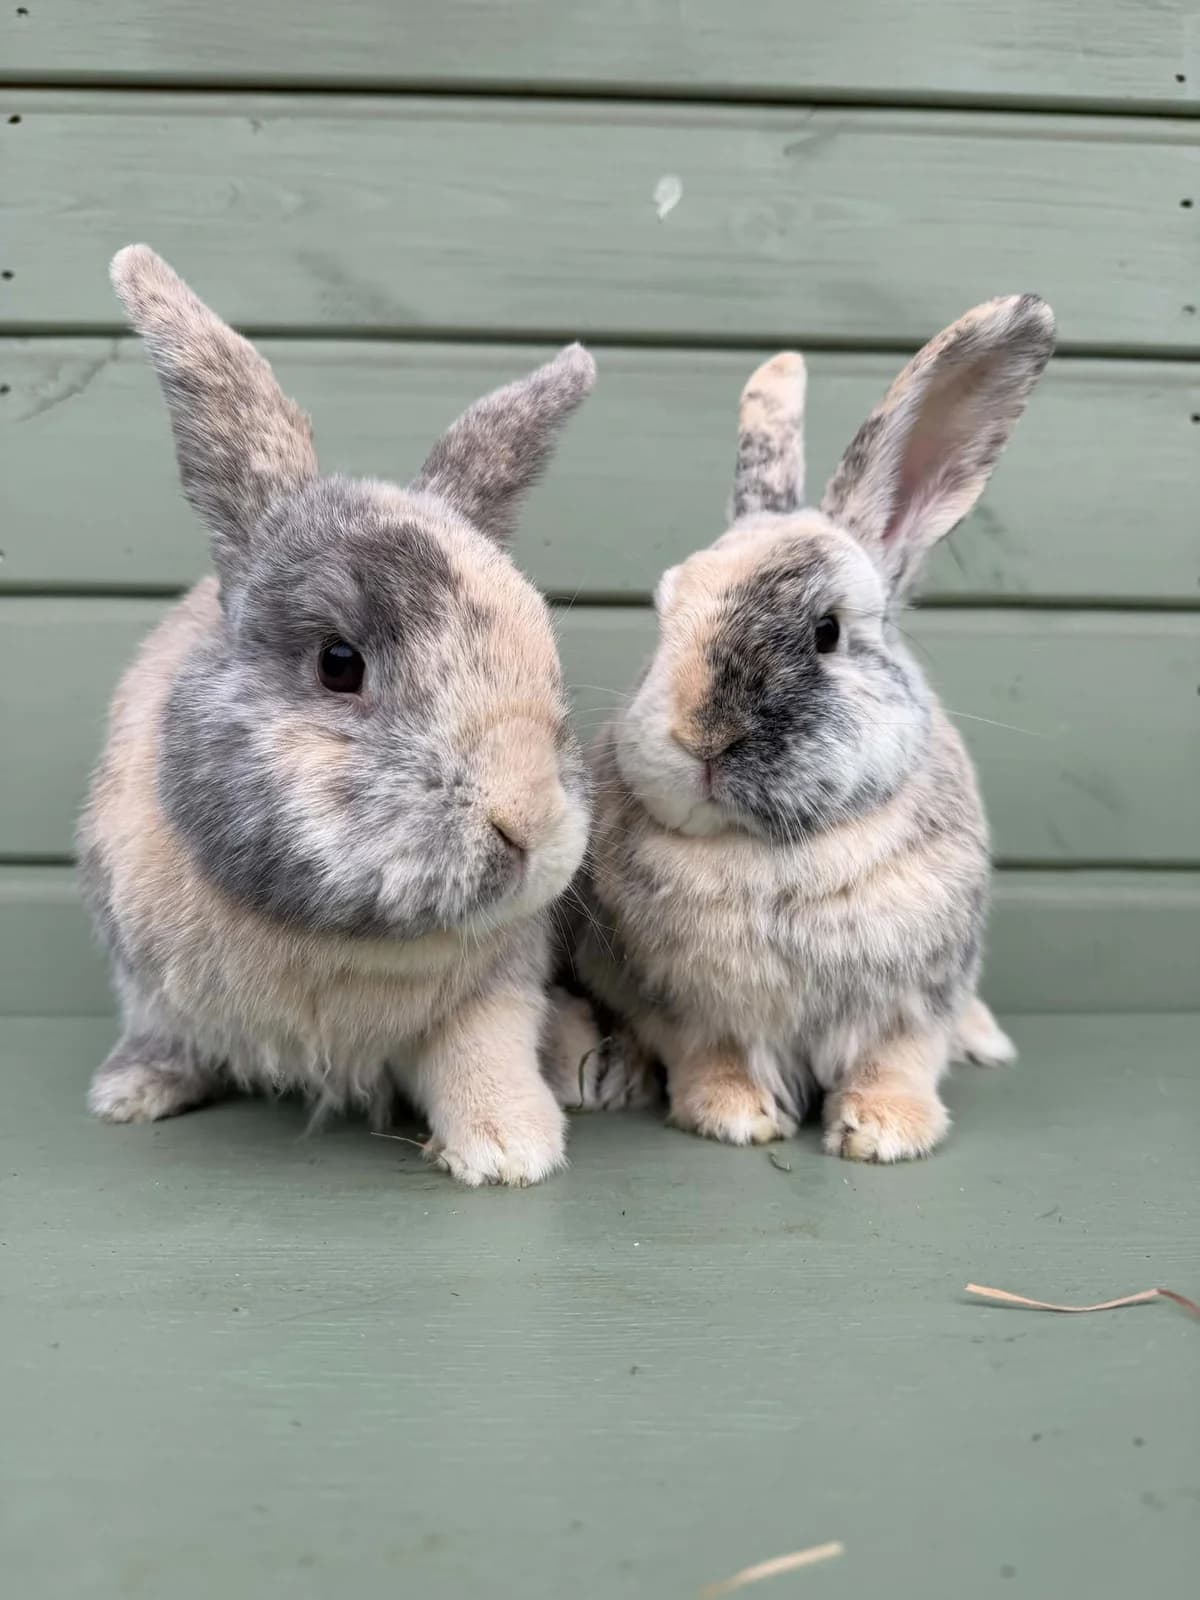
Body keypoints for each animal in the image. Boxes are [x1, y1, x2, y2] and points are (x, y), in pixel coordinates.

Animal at [79, 245, 596, 1187]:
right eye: (338, 663)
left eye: (551, 668)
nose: (529, 821)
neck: (338, 942)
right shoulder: (150, 984)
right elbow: (165, 1035)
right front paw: (131, 1093)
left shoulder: (494, 992)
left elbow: (483, 1054)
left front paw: (510, 1149)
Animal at [546, 295, 1055, 1161]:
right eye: (665, 613)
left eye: (827, 631)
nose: (702, 739)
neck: (776, 853)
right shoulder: (690, 1011)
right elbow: (714, 1059)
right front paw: (734, 1117)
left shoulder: (910, 1007)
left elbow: (895, 1062)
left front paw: (886, 1133)